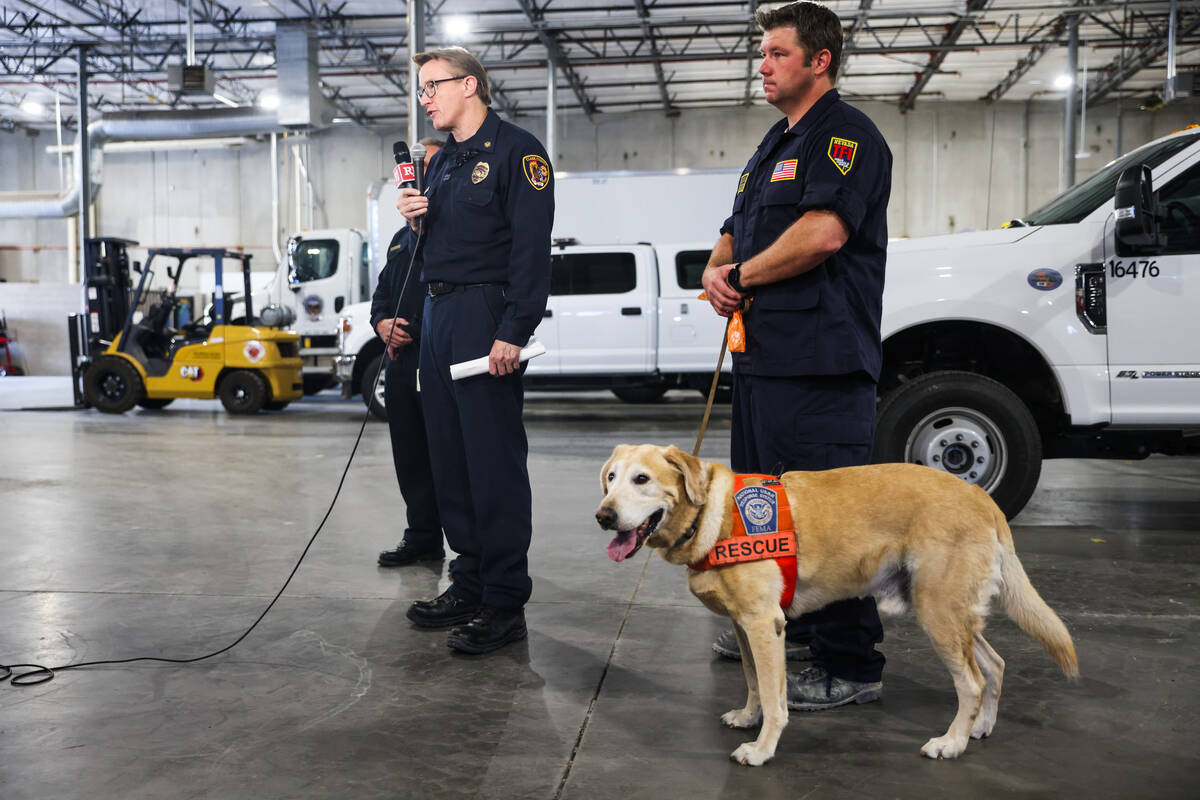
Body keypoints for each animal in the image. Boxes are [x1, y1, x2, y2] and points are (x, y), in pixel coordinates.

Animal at [597, 448, 1080, 767]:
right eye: (611, 478)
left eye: (641, 480)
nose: (603, 516)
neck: (708, 518)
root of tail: (982, 497)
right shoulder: (743, 625)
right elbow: (753, 681)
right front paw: (749, 717)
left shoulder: (764, 624)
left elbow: (773, 696)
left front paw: (763, 748)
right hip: (951, 612)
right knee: (995, 665)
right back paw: (980, 727)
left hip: (939, 613)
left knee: (974, 683)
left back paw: (953, 742)